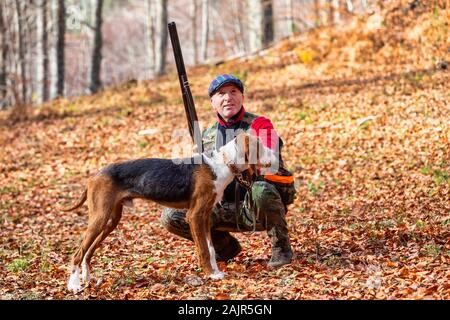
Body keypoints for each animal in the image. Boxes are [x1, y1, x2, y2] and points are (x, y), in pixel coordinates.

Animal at [59, 132, 278, 292]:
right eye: (260, 146)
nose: (276, 157)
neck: (222, 163)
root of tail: (95, 175)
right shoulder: (194, 216)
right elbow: (204, 250)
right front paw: (210, 274)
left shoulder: (205, 217)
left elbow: (211, 248)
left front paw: (216, 271)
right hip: (100, 218)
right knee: (78, 253)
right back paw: (74, 285)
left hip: (111, 220)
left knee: (88, 251)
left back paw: (87, 277)